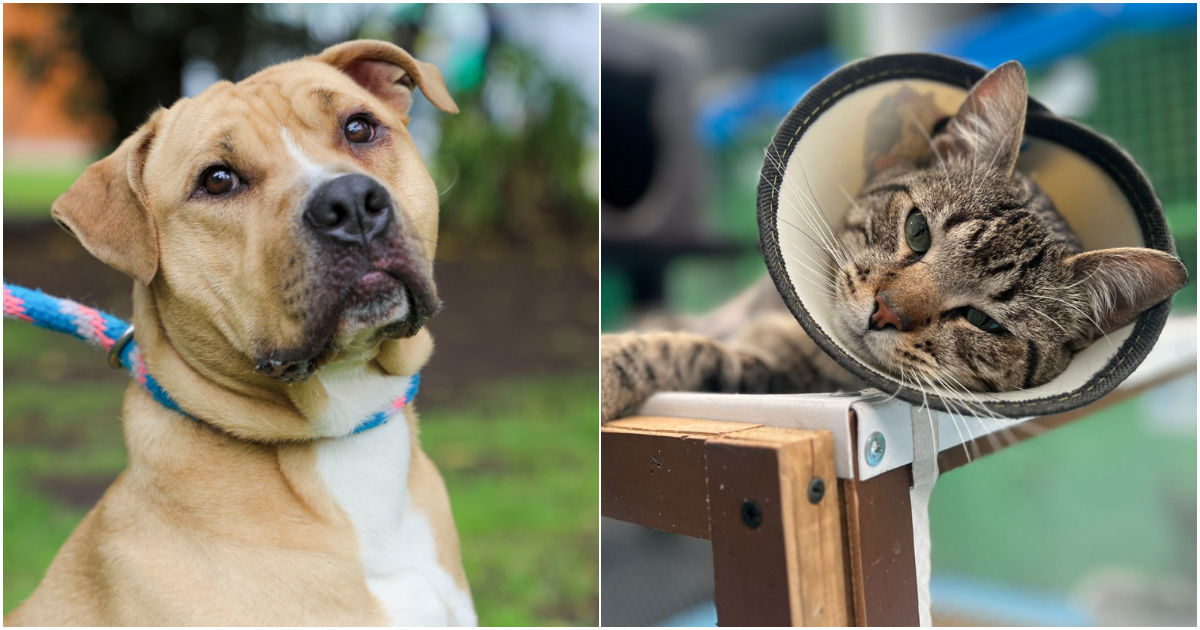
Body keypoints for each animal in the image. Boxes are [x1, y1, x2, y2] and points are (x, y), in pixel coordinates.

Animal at [604, 60, 1185, 422]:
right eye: (917, 230)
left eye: (985, 322)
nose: (884, 311)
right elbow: (679, 329)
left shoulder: (761, 369)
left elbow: (680, 351)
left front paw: (611, 366)